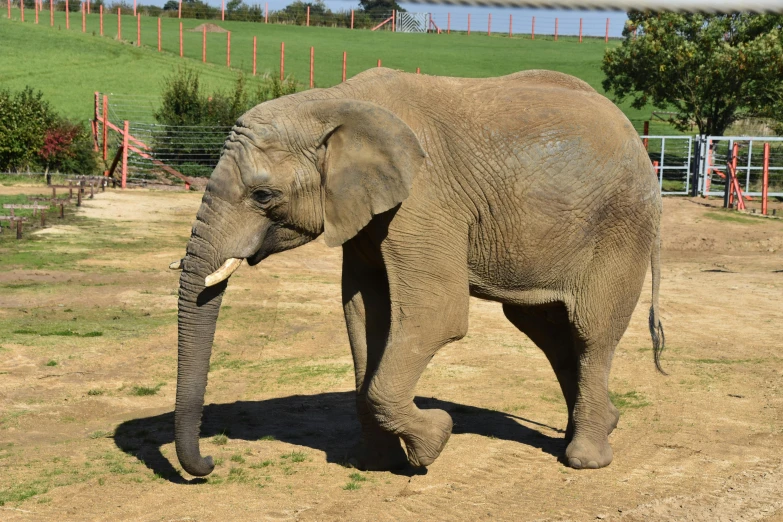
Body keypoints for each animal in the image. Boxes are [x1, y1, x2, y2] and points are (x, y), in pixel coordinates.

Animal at [168, 68, 664, 476]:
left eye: (263, 195)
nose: (210, 464)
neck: (334, 102)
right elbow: (363, 314)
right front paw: (374, 464)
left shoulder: (425, 201)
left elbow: (436, 315)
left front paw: (435, 439)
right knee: (548, 331)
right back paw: (601, 425)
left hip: (622, 224)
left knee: (591, 331)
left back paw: (585, 459)